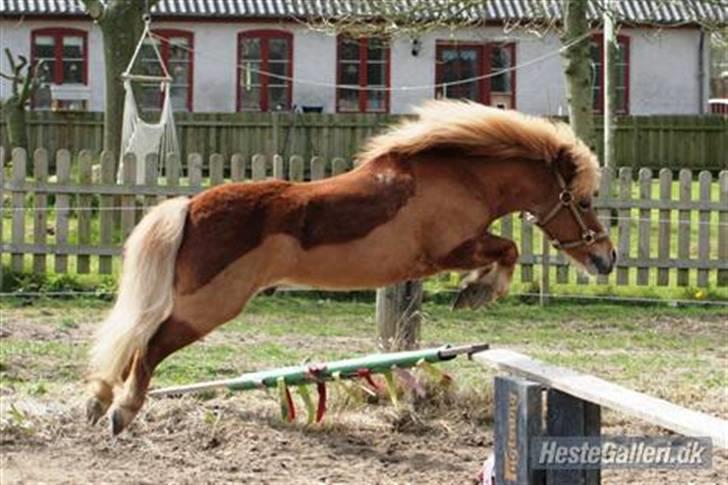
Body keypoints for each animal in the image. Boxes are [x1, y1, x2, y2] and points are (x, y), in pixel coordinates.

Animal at [86, 100, 616, 432]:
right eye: (583, 201)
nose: (606, 259)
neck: (461, 176)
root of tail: (191, 207)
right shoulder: (446, 252)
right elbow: (507, 251)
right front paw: (477, 291)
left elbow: (505, 251)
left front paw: (475, 290)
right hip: (209, 307)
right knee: (148, 345)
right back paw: (120, 411)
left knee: (135, 339)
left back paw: (99, 400)